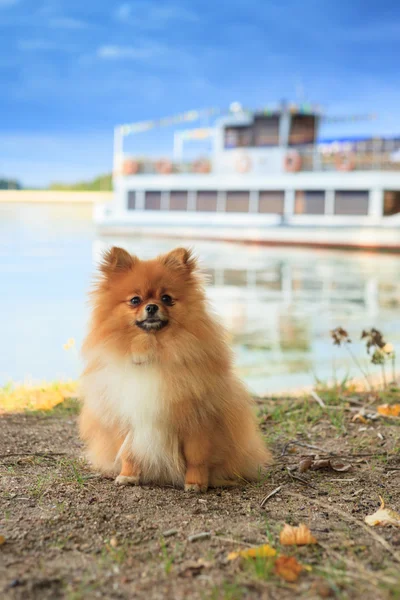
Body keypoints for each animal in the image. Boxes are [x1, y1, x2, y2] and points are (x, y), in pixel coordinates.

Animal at [79, 246, 270, 490]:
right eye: (135, 300)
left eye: (167, 298)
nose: (151, 307)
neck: (152, 351)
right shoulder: (126, 415)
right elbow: (129, 452)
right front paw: (128, 475)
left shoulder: (198, 420)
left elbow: (197, 457)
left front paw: (195, 483)